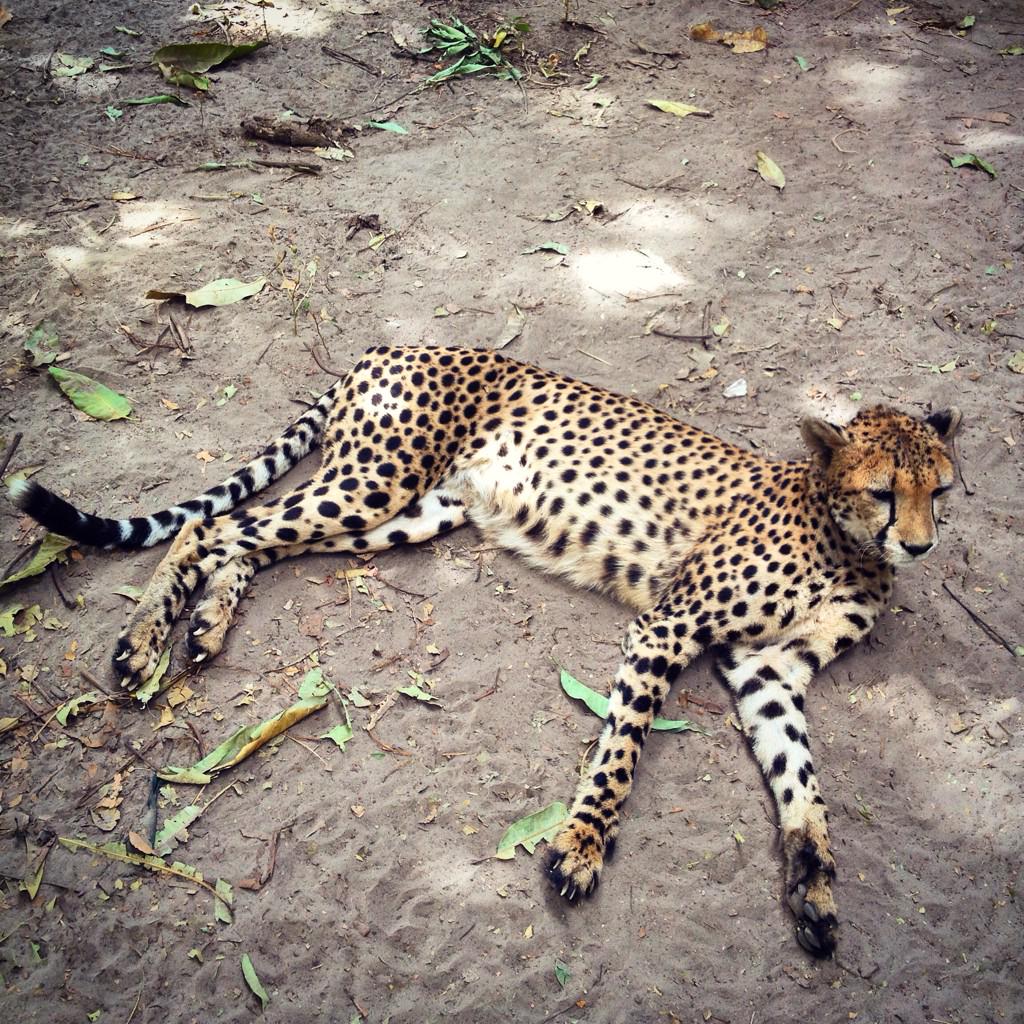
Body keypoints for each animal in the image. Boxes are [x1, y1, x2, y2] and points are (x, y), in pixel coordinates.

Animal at [9, 344, 961, 957]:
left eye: (941, 491)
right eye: (885, 492)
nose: (919, 546)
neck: (848, 541)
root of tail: (397, 339)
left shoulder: (769, 673)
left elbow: (805, 786)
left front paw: (816, 886)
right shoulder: (671, 626)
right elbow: (623, 749)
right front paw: (581, 846)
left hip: (406, 513)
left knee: (249, 541)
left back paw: (206, 622)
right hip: (374, 481)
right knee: (210, 526)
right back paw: (142, 644)